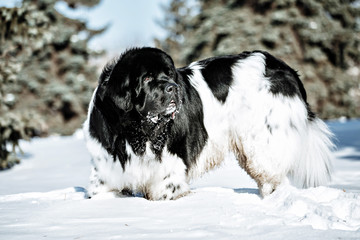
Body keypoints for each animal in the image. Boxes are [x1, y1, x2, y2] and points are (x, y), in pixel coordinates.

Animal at [83, 47, 334, 201]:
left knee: (274, 177)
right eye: (146, 78)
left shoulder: (168, 173)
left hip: (263, 142)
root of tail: (281, 66)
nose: (173, 87)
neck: (136, 130)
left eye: (169, 75)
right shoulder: (106, 170)